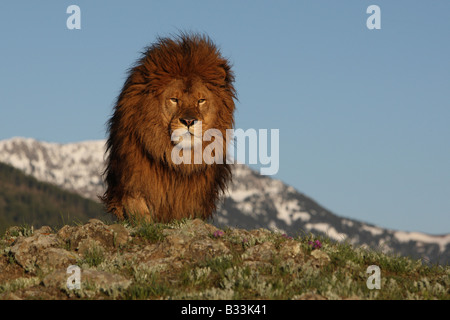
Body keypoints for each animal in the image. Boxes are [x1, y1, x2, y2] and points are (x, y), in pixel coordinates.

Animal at [100, 33, 237, 222]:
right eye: (174, 99)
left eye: (201, 100)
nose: (189, 121)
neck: (178, 158)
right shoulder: (131, 182)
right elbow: (139, 210)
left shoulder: (194, 196)